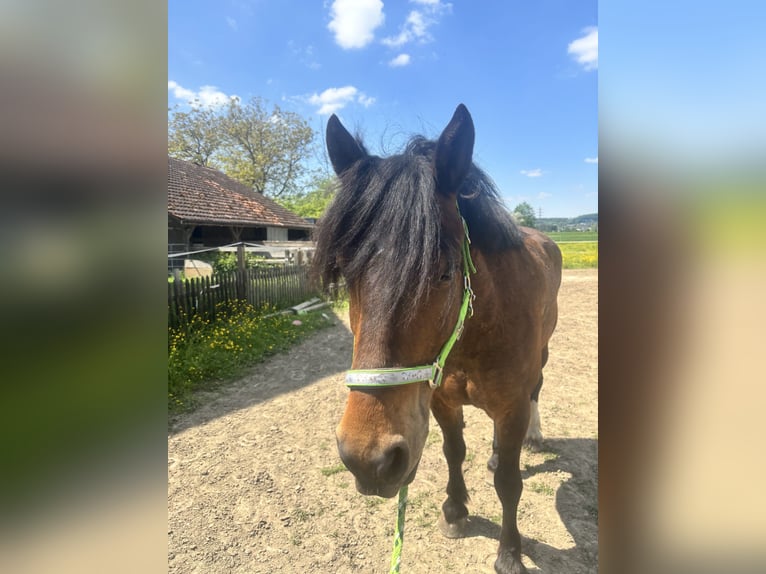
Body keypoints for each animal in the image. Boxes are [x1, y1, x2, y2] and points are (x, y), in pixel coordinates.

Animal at [314, 104, 564, 574]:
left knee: (537, 391)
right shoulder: (441, 401)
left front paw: (509, 553)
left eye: (445, 272)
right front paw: (455, 510)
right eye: (345, 273)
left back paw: (534, 437)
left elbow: (509, 483)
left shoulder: (512, 406)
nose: (368, 459)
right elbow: (454, 451)